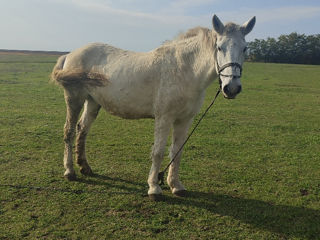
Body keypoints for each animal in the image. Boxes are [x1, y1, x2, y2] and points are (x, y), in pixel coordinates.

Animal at [52, 14, 258, 199]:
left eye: (245, 48)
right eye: (219, 47)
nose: (231, 88)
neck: (185, 70)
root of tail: (70, 54)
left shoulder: (184, 120)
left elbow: (177, 151)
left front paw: (176, 185)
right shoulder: (164, 118)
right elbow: (158, 152)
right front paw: (154, 187)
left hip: (93, 102)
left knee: (82, 130)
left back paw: (85, 167)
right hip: (74, 99)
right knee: (69, 131)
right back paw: (70, 171)